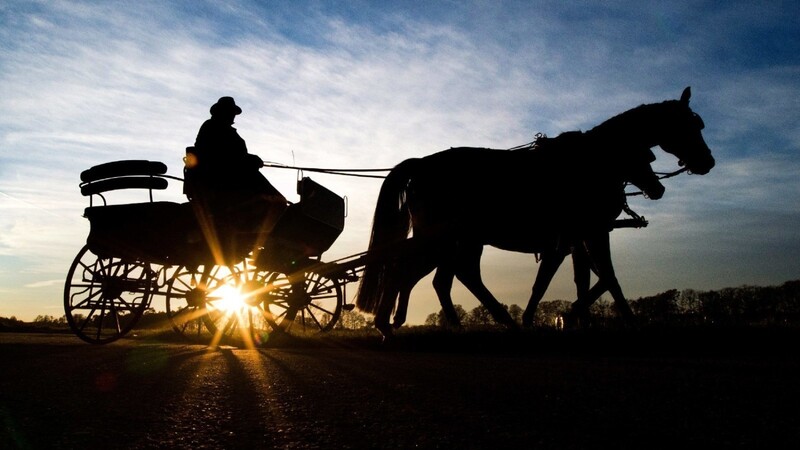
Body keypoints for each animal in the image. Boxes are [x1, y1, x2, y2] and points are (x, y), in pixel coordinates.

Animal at [354, 87, 716, 338]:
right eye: (689, 124)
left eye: (648, 156)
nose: (708, 162)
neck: (593, 162)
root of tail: (422, 163)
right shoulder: (591, 232)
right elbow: (603, 277)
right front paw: (606, 319)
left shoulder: (575, 239)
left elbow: (583, 279)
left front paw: (575, 319)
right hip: (445, 238)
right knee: (418, 271)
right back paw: (393, 322)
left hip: (460, 240)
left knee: (444, 277)